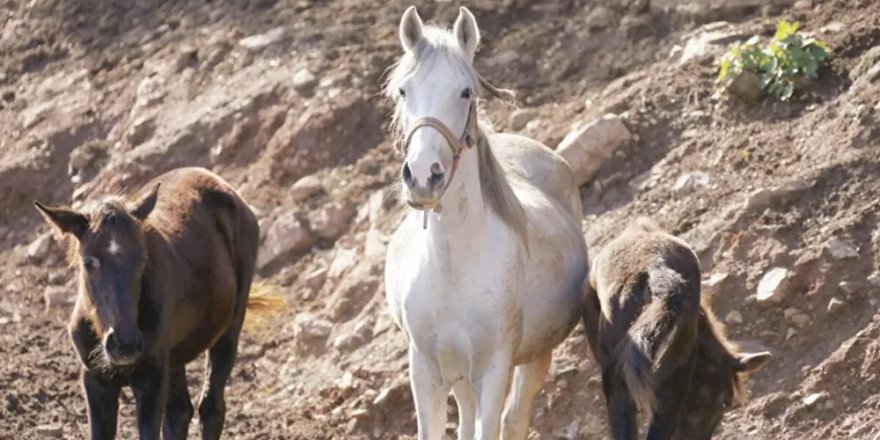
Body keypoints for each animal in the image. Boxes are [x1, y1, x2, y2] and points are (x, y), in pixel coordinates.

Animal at [35, 167, 278, 438]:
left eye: (141, 259)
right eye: (89, 262)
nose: (125, 345)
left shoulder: (151, 380)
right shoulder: (96, 381)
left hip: (227, 332)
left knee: (211, 407)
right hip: (175, 358)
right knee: (179, 412)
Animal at [386, 6, 588, 440]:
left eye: (465, 92)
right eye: (403, 91)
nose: (423, 177)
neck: (452, 266)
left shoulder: (494, 370)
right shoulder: (425, 370)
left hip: (532, 357)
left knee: (514, 419)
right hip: (459, 374)